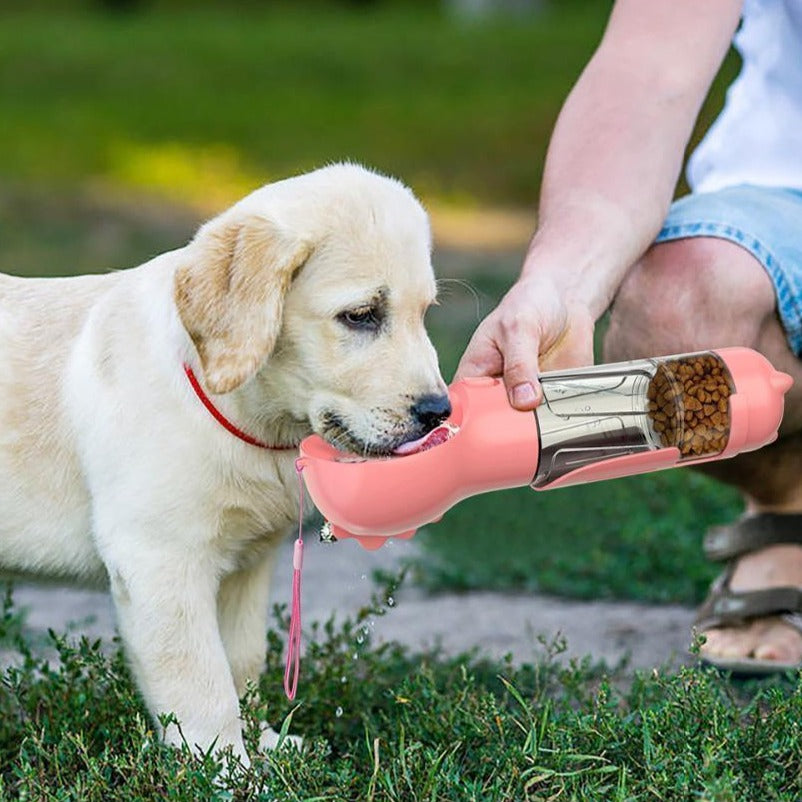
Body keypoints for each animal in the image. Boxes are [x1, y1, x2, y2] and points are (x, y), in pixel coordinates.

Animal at [0, 161, 450, 756]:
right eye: (361, 316)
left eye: (424, 314)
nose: (440, 412)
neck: (252, 420)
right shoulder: (159, 560)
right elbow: (200, 679)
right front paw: (224, 762)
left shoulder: (246, 565)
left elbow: (241, 661)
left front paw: (266, 745)